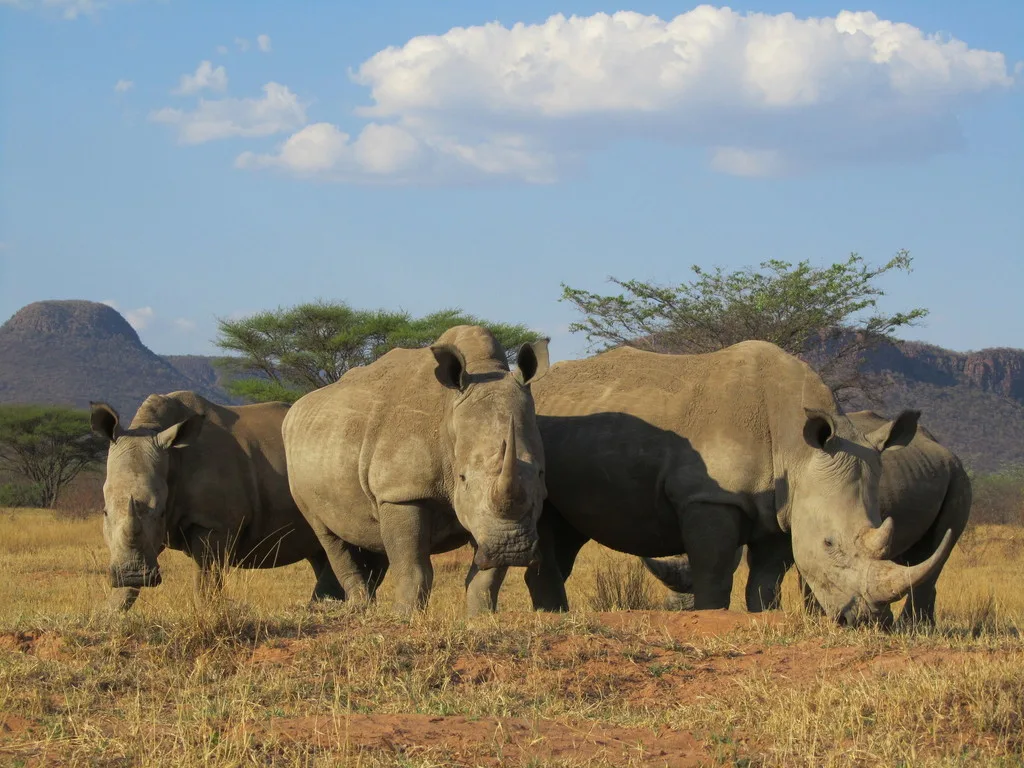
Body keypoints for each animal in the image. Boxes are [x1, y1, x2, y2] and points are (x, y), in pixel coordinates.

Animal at [90, 391, 346, 611]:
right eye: (104, 512)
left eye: (161, 512)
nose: (133, 575)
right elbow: (126, 586)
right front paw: (109, 613)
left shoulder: (213, 524)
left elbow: (206, 578)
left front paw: (211, 612)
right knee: (321, 549)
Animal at [281, 326, 550, 617]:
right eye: (463, 478)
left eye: (540, 474)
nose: (511, 549)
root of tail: (294, 410)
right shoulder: (401, 492)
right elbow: (412, 566)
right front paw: (404, 616)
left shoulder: (490, 519)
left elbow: (486, 575)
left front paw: (480, 617)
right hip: (297, 463)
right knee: (326, 533)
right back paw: (358, 606)